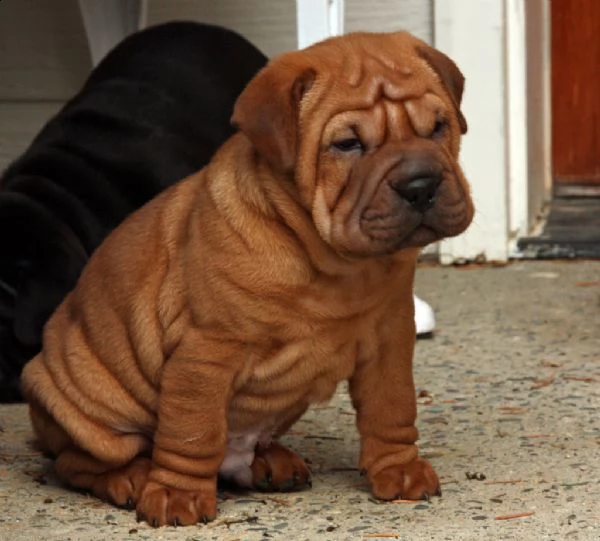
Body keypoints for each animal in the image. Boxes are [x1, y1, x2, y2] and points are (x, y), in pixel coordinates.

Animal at [22, 31, 474, 524]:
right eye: (347, 144)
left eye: (438, 126)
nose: (421, 185)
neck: (332, 264)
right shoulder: (205, 352)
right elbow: (192, 433)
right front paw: (177, 495)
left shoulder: (389, 338)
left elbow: (392, 408)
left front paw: (401, 470)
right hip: (82, 405)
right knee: (78, 461)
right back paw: (130, 478)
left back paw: (271, 462)